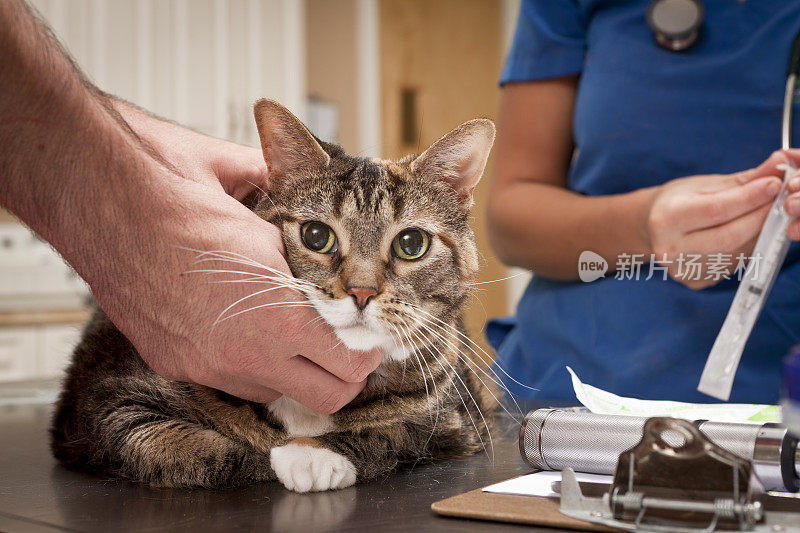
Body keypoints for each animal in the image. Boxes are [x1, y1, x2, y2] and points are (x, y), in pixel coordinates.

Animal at [48, 98, 500, 490]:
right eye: (316, 236)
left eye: (411, 244)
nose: (361, 291)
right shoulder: (102, 402)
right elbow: (168, 443)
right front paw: (268, 454)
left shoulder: (457, 422)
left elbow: (396, 431)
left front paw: (313, 454)